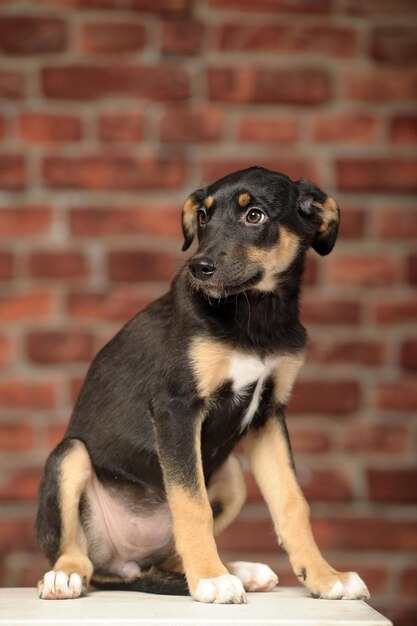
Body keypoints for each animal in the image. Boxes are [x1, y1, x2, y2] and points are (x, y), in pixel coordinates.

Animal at [35, 166, 368, 600]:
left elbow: (292, 502)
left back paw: (238, 570)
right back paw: (66, 575)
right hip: (70, 456)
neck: (254, 314)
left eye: (255, 215)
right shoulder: (176, 408)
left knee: (166, 559)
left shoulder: (269, 414)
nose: (200, 267)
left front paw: (326, 577)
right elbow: (193, 505)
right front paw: (210, 579)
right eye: (204, 217)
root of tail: (127, 564)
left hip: (232, 478)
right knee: (78, 554)